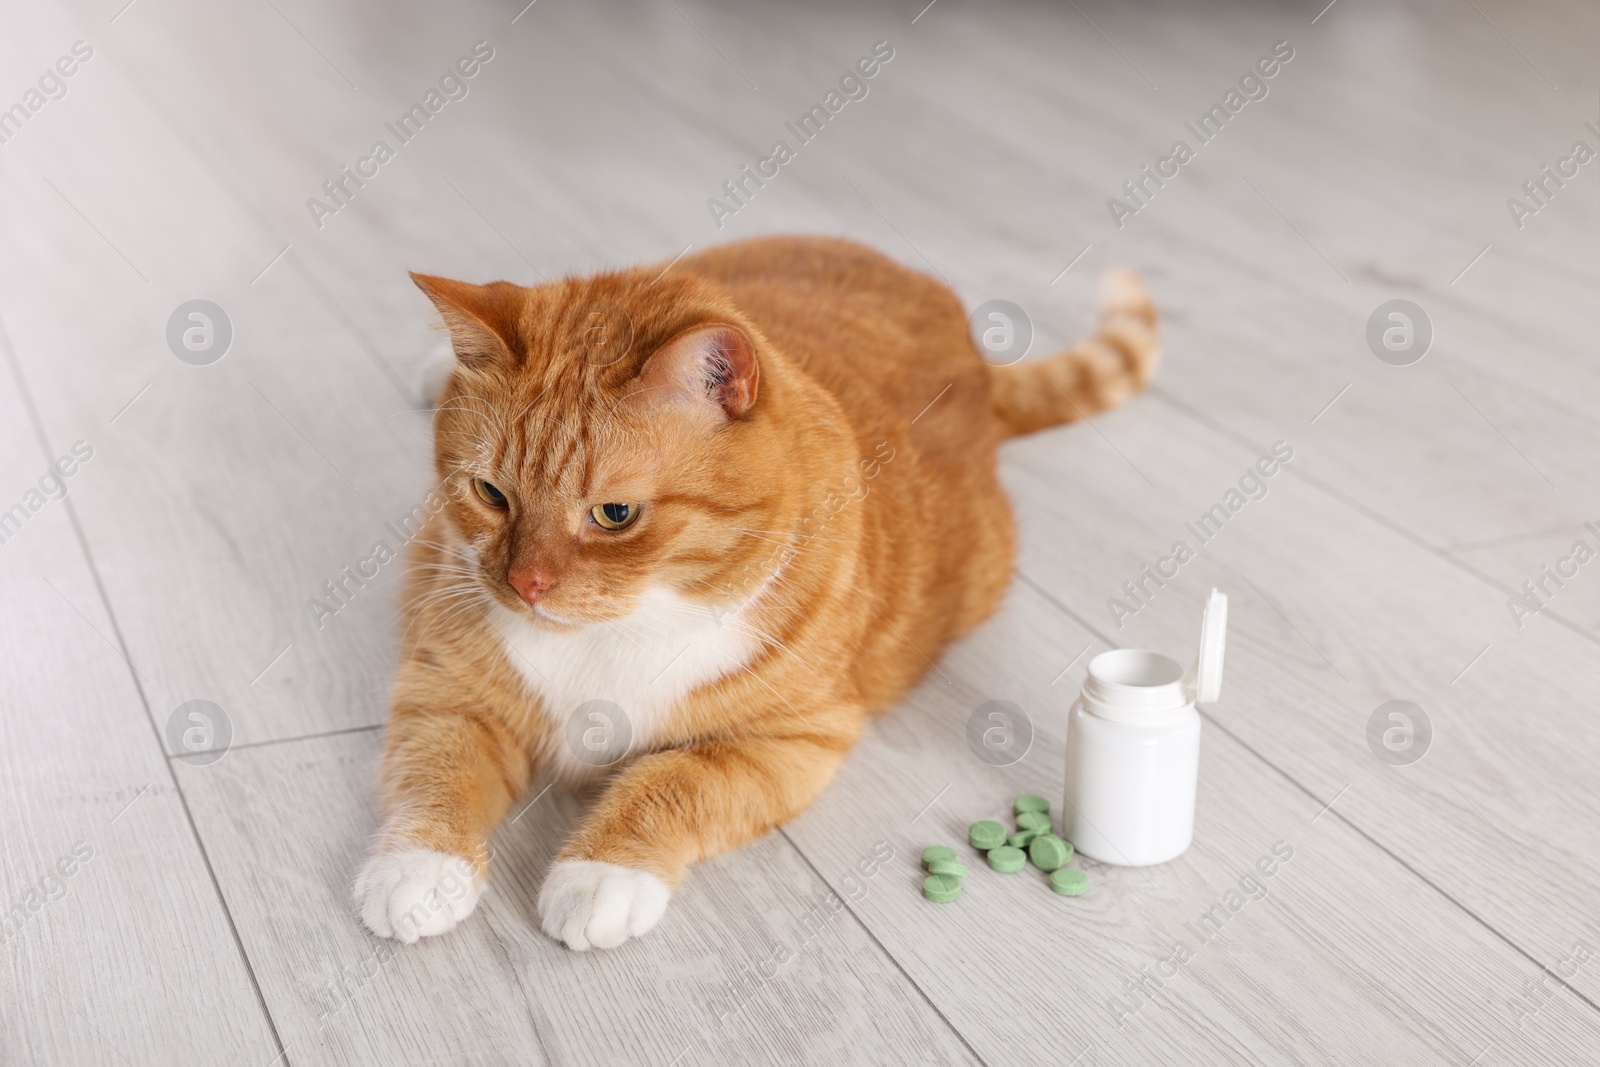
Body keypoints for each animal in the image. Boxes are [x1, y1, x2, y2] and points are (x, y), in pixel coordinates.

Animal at [353, 235, 1152, 953]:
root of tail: (968, 348)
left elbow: (671, 782)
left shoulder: (792, 740)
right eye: (490, 494)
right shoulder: (446, 683)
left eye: (615, 514)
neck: (615, 630)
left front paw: (601, 876)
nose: (525, 586)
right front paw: (416, 870)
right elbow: (437, 772)